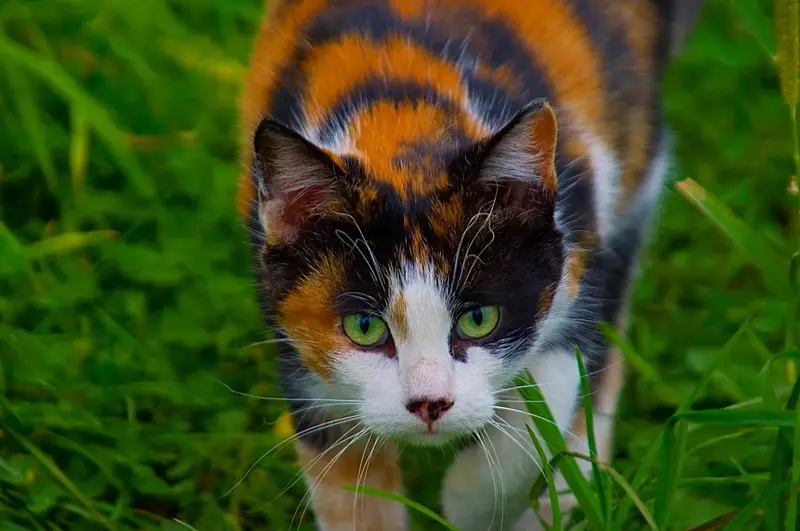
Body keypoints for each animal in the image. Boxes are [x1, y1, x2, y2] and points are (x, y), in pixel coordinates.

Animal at [236, 2, 700, 528]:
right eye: (363, 326)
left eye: (479, 319)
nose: (429, 404)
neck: (400, 118)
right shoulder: (297, 346)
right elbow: (346, 481)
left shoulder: (576, 249)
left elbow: (554, 387)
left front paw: (473, 499)